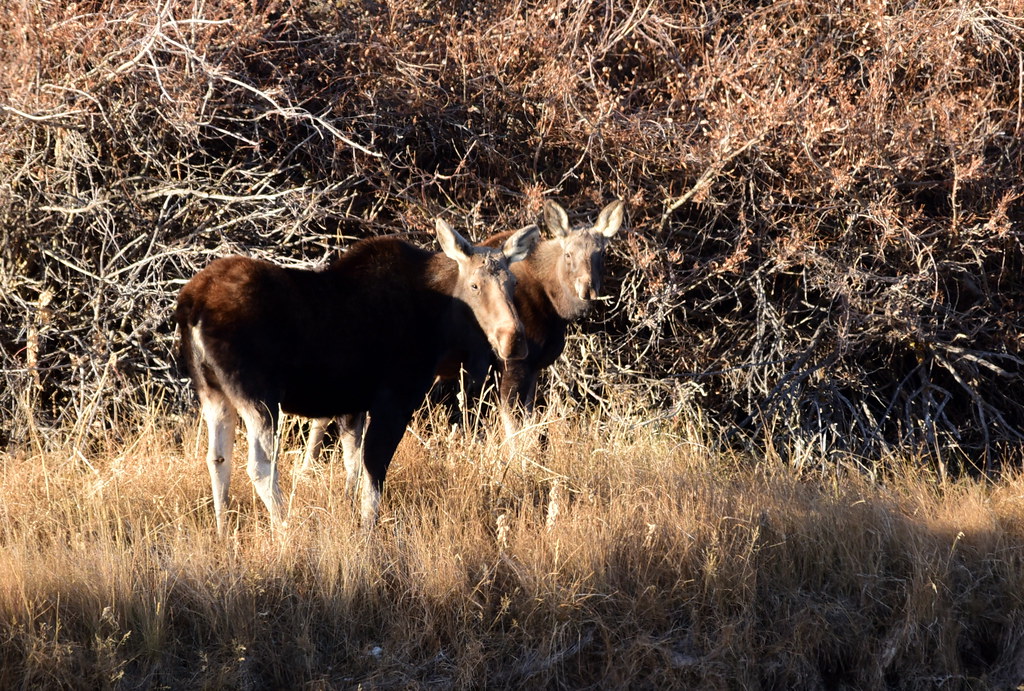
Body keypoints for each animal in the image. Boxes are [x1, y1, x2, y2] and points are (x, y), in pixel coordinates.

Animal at [175, 219, 539, 534]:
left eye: (513, 283)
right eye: (475, 285)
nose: (515, 339)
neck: (442, 324)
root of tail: (192, 304)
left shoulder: (352, 405)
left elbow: (350, 466)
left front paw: (351, 518)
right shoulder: (395, 397)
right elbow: (373, 467)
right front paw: (368, 530)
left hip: (213, 393)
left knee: (217, 458)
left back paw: (223, 532)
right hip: (259, 396)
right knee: (260, 466)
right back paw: (285, 530)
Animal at [301, 199, 624, 478]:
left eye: (601, 254)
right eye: (568, 254)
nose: (587, 289)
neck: (554, 304)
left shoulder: (531, 370)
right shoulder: (513, 366)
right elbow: (515, 430)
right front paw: (521, 471)